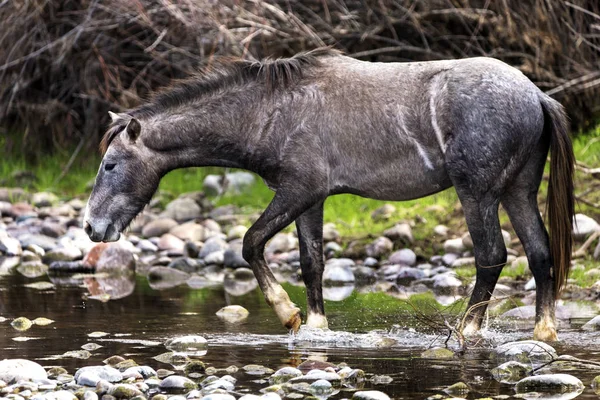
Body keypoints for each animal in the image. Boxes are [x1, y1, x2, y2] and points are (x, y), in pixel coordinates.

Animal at [83, 48, 572, 342]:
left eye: (110, 165)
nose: (91, 226)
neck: (272, 111)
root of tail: (536, 94)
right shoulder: (311, 201)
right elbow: (311, 261)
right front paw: (315, 325)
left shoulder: (297, 191)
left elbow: (250, 242)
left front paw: (287, 314)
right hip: (518, 192)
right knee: (539, 253)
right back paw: (542, 332)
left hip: (478, 195)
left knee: (492, 256)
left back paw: (466, 332)